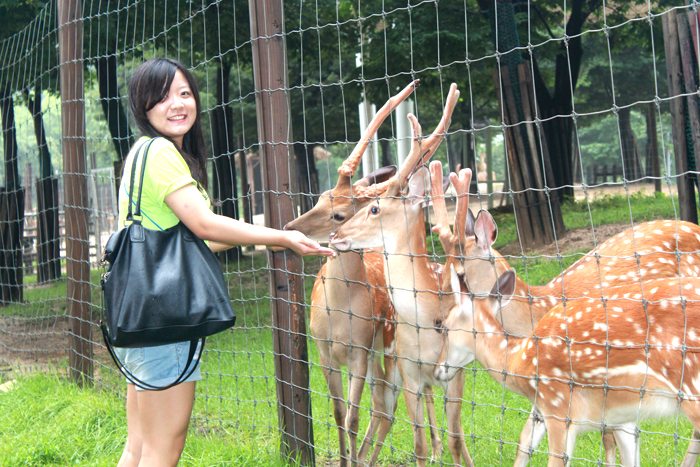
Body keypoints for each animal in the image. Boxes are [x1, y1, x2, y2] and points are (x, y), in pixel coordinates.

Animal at [282, 80, 446, 467]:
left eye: (340, 214)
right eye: (320, 196)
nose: (289, 227)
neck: (339, 314)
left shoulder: (359, 348)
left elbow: (353, 417)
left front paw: (351, 459)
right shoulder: (322, 349)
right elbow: (338, 413)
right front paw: (346, 458)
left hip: (385, 354)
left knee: (388, 406)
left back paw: (430, 449)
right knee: (388, 407)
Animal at [330, 84, 476, 467]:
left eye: (374, 209)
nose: (336, 235)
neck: (428, 319)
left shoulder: (457, 372)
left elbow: (458, 439)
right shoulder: (408, 369)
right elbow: (418, 444)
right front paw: (428, 451)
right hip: (384, 364)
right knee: (385, 410)